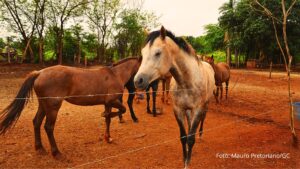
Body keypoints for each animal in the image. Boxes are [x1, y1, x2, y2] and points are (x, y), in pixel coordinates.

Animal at [134, 26, 216, 168]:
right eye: (142, 54)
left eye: (158, 53)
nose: (138, 81)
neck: (188, 82)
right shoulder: (178, 109)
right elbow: (184, 137)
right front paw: (184, 159)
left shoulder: (198, 109)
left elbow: (191, 138)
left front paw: (187, 163)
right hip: (187, 110)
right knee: (189, 123)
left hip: (206, 104)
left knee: (202, 120)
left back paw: (200, 134)